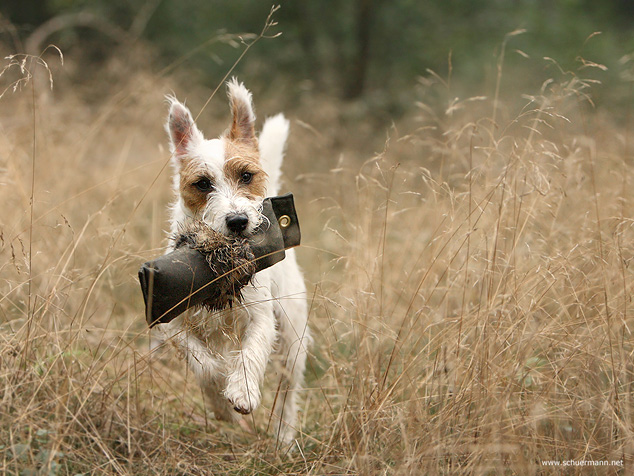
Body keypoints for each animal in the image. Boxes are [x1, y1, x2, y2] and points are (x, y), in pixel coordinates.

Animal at [156, 79, 308, 446]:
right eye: (202, 184)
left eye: (247, 176)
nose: (238, 221)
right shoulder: (172, 323)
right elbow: (203, 365)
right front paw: (220, 400)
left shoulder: (261, 317)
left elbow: (251, 352)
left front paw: (242, 392)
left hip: (293, 340)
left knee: (288, 391)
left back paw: (283, 438)